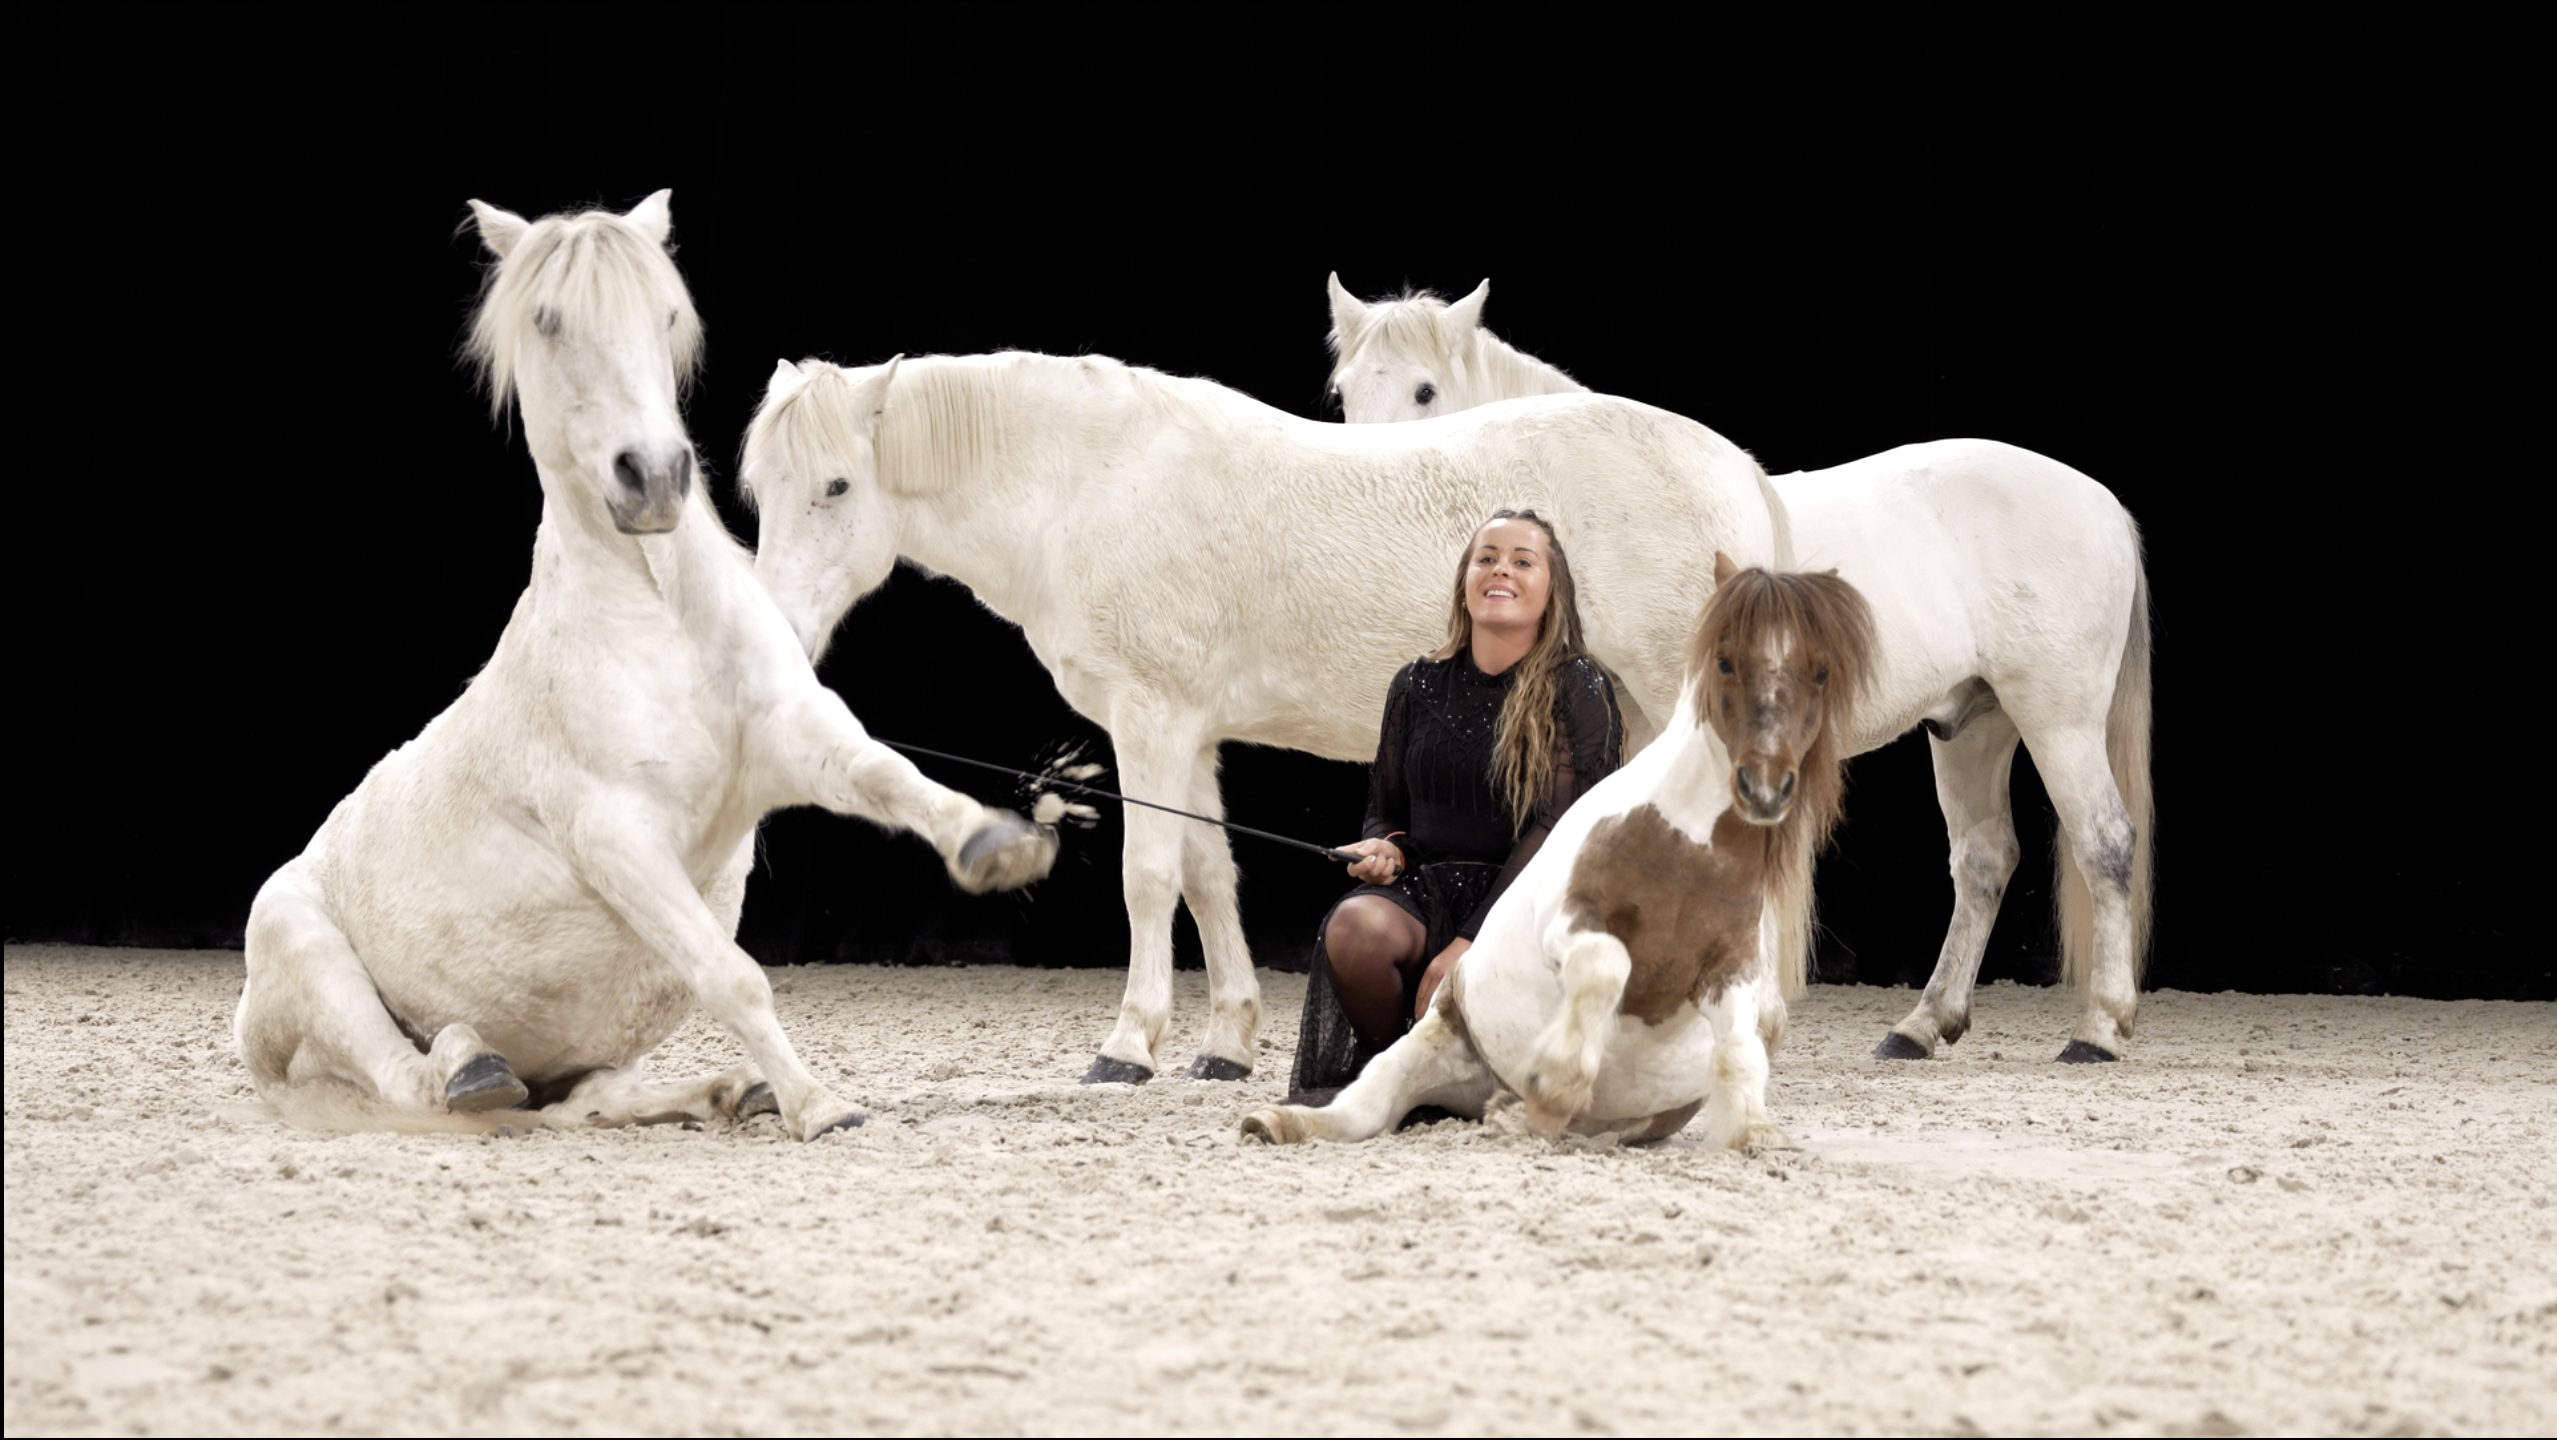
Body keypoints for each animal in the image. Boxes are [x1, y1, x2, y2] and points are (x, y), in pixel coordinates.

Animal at [234, 193, 1055, 1142]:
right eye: (547, 320)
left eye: (665, 314)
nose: (653, 477)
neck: (664, 616)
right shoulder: (619, 840)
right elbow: (731, 976)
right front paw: (821, 1107)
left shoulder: (791, 742)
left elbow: (887, 778)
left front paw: (998, 844)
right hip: (312, 959)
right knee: (415, 1081)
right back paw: (470, 1062)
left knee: (575, 1101)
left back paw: (723, 1092)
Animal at [740, 352, 1787, 1085]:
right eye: (758, 492)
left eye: (836, 486)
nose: (776, 632)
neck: (1090, 485)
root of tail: (1737, 466)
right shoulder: (1189, 731)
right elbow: (1209, 876)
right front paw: (1226, 1044)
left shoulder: (1151, 719)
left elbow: (1149, 878)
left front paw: (1129, 1043)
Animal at [1241, 555, 1878, 1147]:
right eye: (1725, 660)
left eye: (1821, 671)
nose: (1764, 789)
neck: (1684, 850)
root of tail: (1475, 1088)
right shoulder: (1570, 925)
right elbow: (1606, 962)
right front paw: (1556, 1079)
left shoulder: (1733, 972)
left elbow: (1741, 1049)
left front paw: (1756, 1135)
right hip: (1431, 1043)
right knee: (1366, 1107)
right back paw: (1278, 1121)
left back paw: (1512, 1113)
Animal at [1325, 276, 2154, 1063]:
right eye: (1342, 390)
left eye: (1425, 390)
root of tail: (2103, 503)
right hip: (1971, 723)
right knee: (1983, 860)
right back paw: (1921, 1026)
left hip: (2056, 718)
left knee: (2104, 843)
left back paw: (2098, 1029)